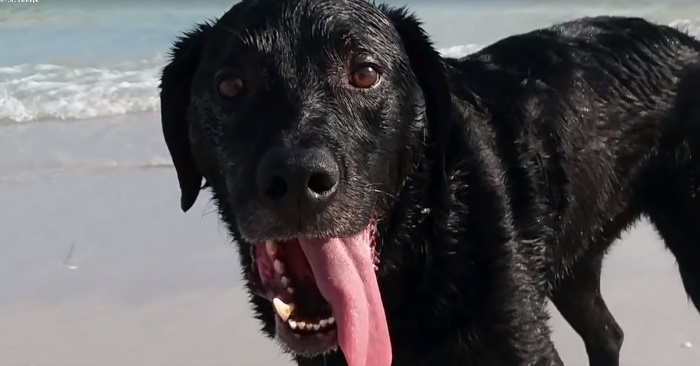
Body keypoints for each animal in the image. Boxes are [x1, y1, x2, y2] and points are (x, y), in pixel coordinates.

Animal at [157, 1, 700, 364]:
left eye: (365, 72)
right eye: (230, 85)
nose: (295, 178)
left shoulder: (519, 341)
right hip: (573, 263)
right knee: (607, 333)